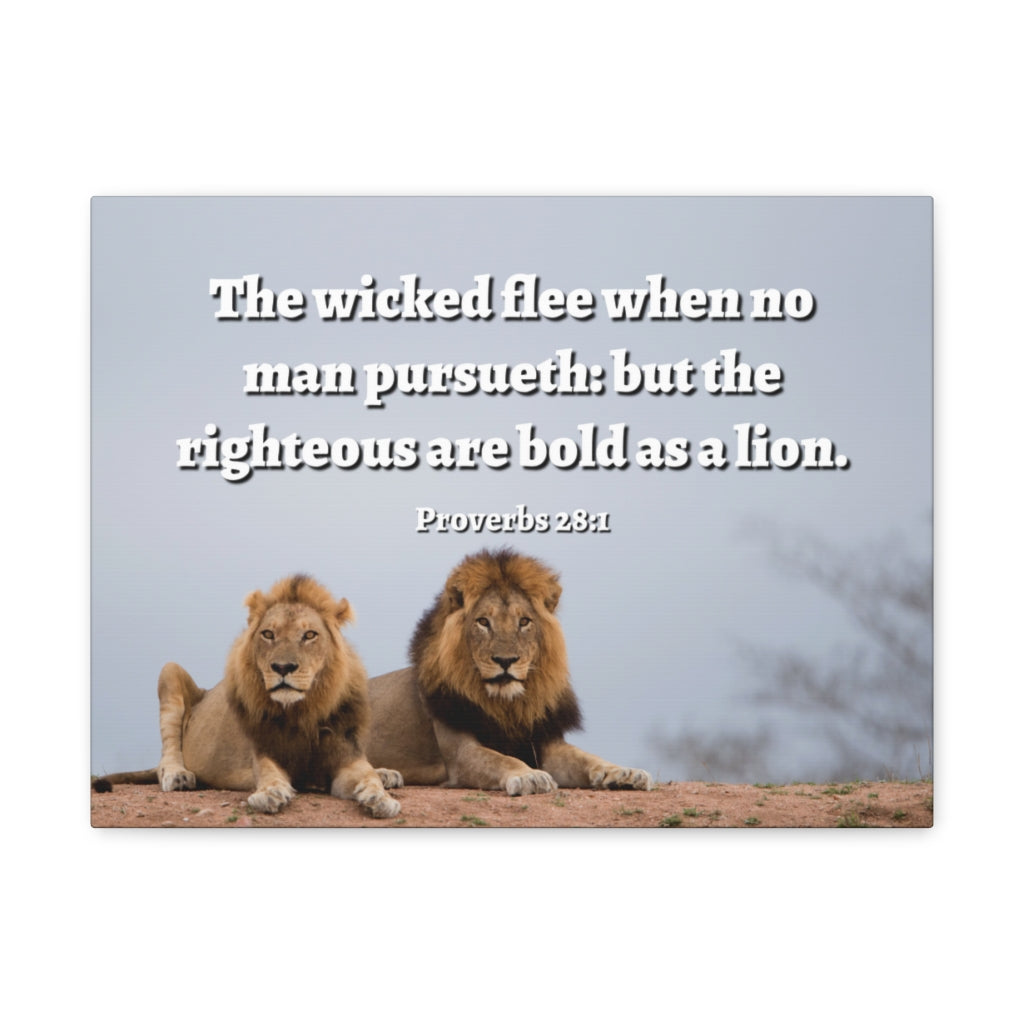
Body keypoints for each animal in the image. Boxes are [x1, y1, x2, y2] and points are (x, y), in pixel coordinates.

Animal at [92, 574, 402, 818]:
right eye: (268, 634)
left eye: (310, 635)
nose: (283, 667)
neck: (302, 712)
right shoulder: (264, 751)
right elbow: (269, 774)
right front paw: (270, 793)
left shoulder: (345, 755)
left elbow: (366, 775)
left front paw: (380, 797)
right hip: (170, 671)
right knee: (165, 757)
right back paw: (177, 776)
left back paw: (388, 774)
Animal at [366, 549, 652, 795]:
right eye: (483, 622)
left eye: (524, 621)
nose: (506, 660)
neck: (509, 705)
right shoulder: (460, 753)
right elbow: (501, 760)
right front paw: (529, 776)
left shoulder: (545, 742)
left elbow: (587, 757)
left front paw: (624, 773)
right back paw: (383, 774)